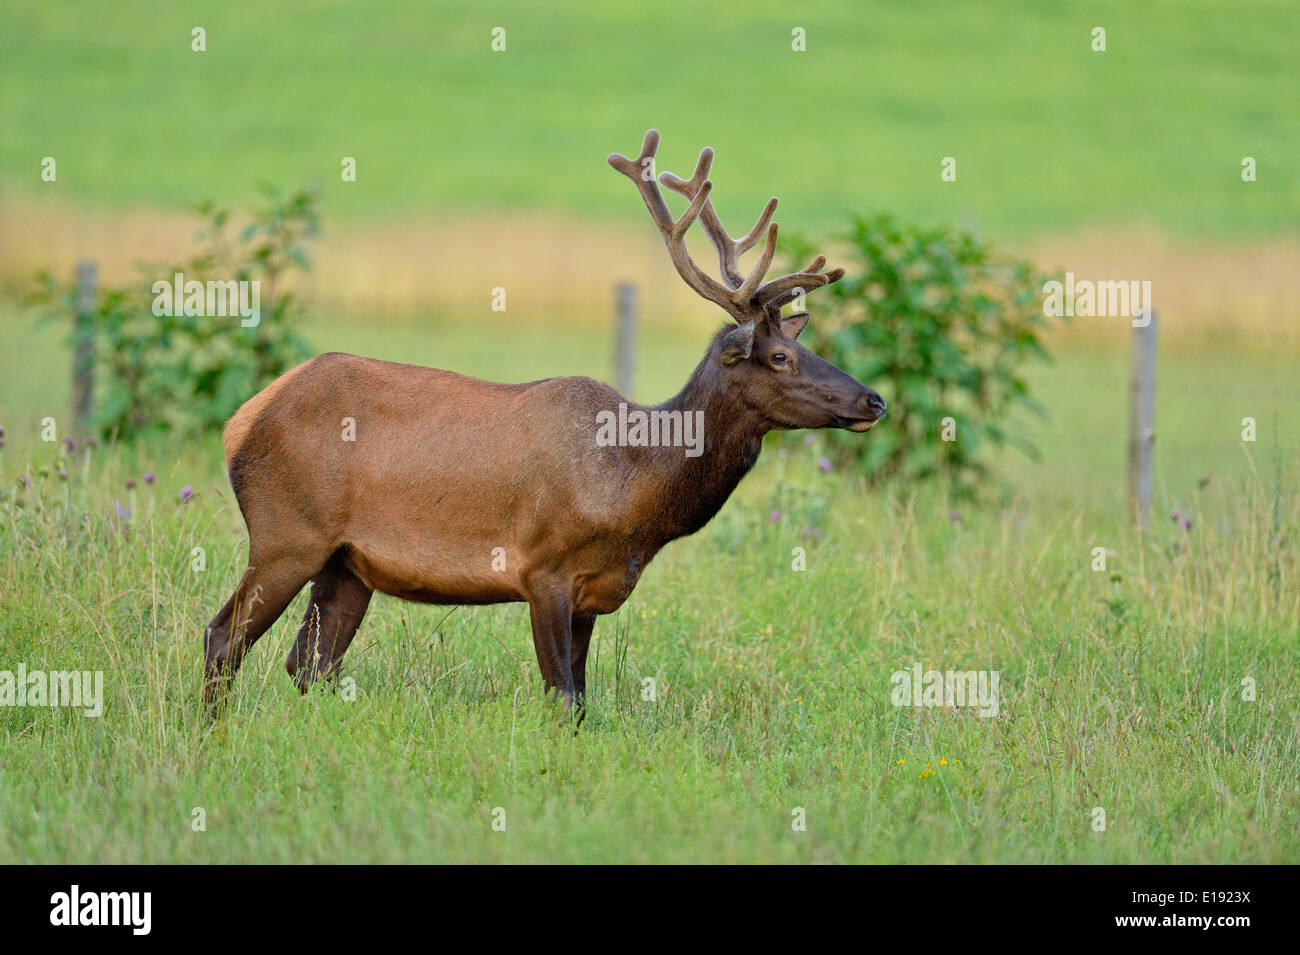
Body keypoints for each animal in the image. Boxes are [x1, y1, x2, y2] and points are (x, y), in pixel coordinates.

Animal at [202, 129, 886, 714]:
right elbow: (564, 699)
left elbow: (581, 698)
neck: (636, 486)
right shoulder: (542, 570)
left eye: (804, 345)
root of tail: (243, 419)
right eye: (780, 357)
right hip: (287, 532)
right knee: (223, 637)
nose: (873, 401)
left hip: (346, 562)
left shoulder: (592, 591)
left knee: (309, 664)